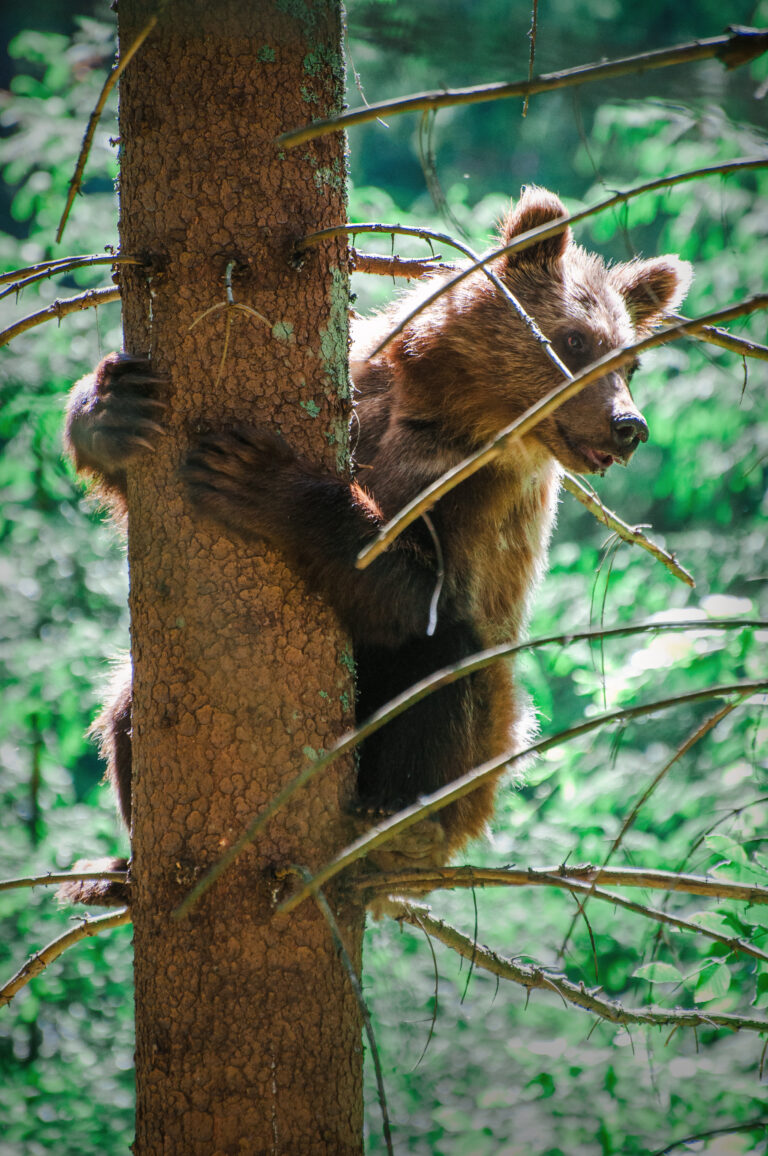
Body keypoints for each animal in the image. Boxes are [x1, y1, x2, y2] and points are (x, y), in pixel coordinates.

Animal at [60, 184, 693, 901]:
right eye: (577, 338)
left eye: (630, 360)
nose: (629, 426)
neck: (451, 411)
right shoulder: (366, 391)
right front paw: (114, 408)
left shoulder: (476, 501)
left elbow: (410, 591)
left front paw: (255, 475)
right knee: (124, 707)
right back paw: (117, 867)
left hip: (485, 744)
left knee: (443, 661)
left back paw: (395, 818)